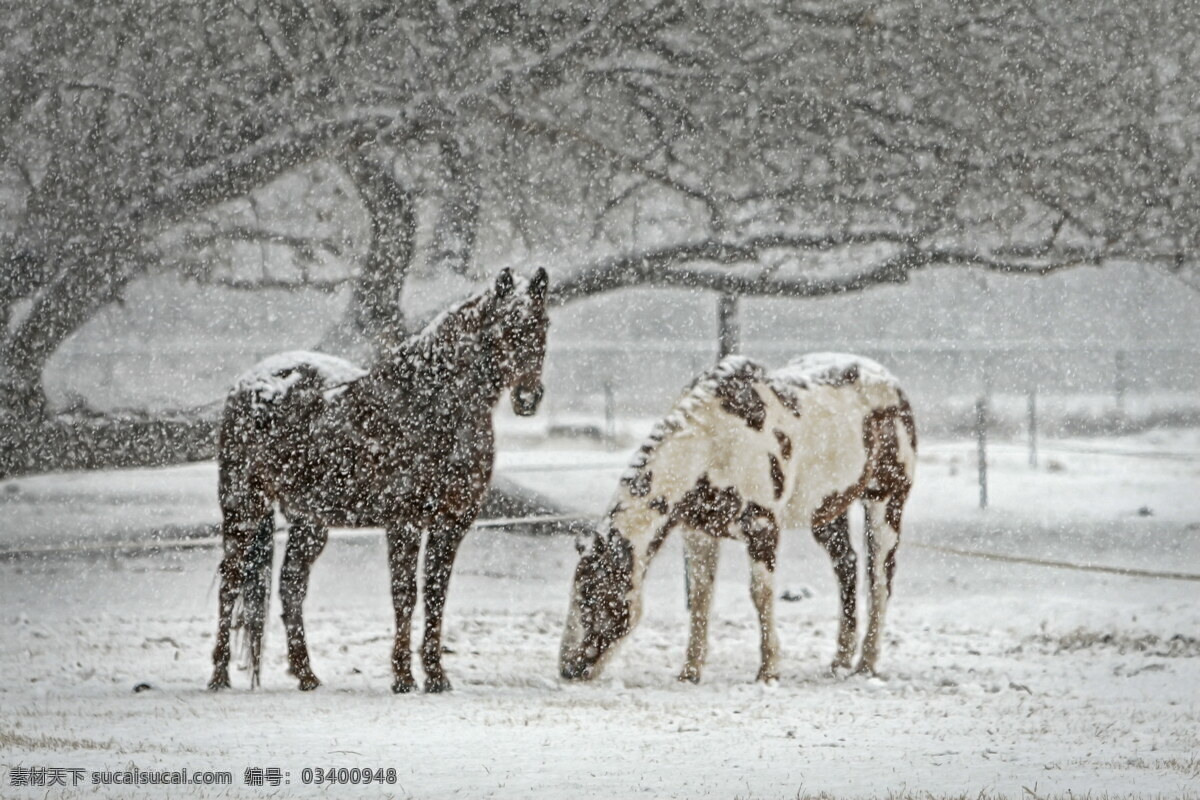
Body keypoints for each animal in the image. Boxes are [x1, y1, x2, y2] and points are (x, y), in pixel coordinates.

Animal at [207, 267, 549, 693]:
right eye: (505, 326)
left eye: (542, 324)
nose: (528, 397)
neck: (433, 404)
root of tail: (249, 383)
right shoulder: (405, 522)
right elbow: (405, 595)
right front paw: (403, 676)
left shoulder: (451, 523)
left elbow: (436, 594)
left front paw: (436, 676)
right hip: (244, 507)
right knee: (231, 581)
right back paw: (219, 675)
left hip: (310, 522)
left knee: (291, 586)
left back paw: (306, 674)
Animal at [560, 353, 916, 684]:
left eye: (594, 597)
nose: (568, 669)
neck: (713, 443)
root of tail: (892, 383)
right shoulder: (699, 533)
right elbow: (700, 598)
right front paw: (690, 672)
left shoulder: (762, 528)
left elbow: (760, 595)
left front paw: (768, 671)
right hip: (828, 512)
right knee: (847, 566)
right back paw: (840, 661)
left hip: (886, 502)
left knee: (880, 578)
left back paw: (866, 664)